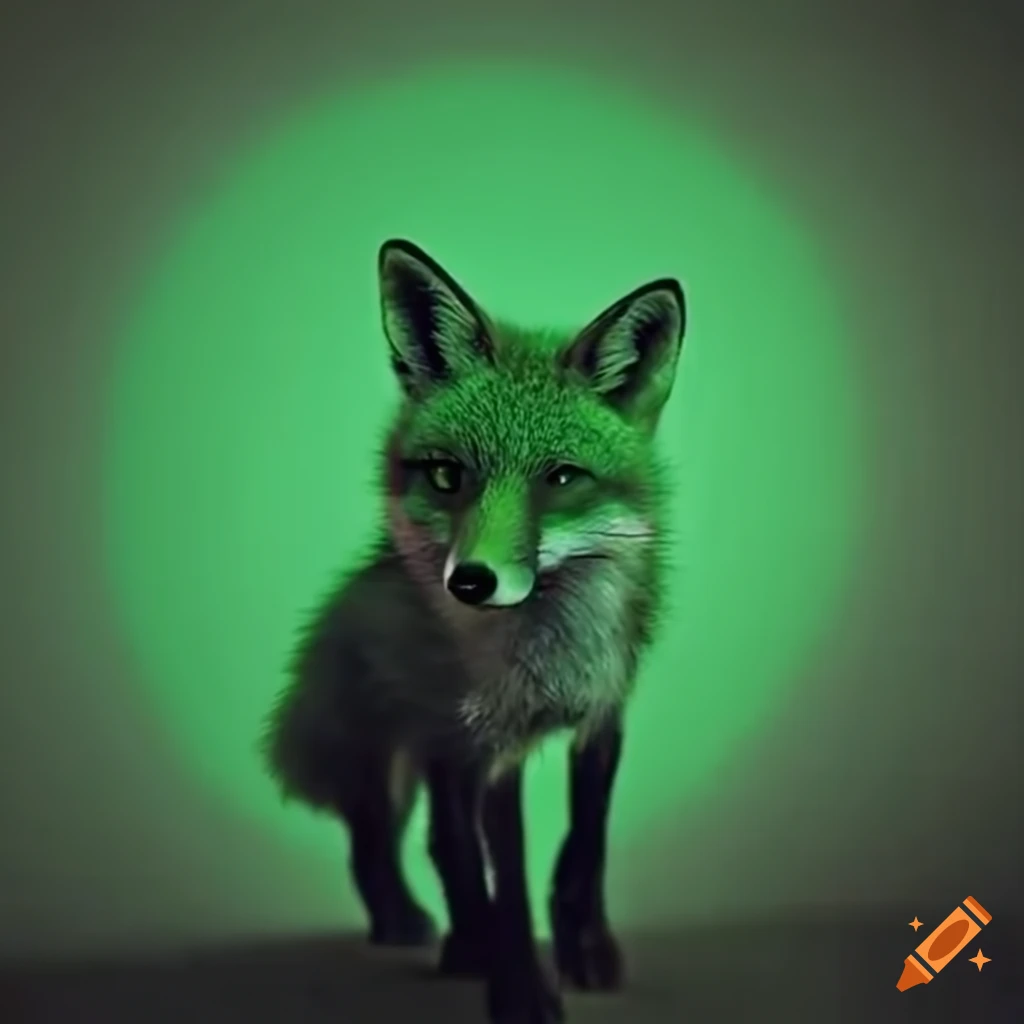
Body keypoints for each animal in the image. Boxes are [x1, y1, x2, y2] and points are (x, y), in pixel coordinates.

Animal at [262, 238, 686, 1024]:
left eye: (560, 478)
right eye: (447, 475)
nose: (470, 581)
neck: (554, 659)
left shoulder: (601, 719)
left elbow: (585, 846)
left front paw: (587, 949)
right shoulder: (495, 747)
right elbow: (509, 879)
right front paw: (520, 992)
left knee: (439, 840)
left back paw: (463, 942)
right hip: (392, 757)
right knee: (380, 836)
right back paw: (414, 926)